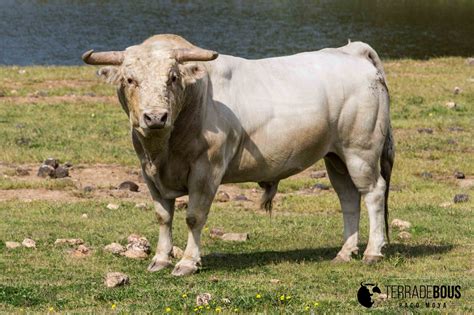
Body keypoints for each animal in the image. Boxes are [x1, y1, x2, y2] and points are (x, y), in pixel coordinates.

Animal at [83, 35, 394, 276]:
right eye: (129, 79)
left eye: (172, 77)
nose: (156, 117)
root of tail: (352, 51)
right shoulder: (149, 172)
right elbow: (163, 216)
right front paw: (160, 259)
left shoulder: (206, 170)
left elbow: (194, 216)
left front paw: (187, 263)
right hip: (336, 157)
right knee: (348, 197)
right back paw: (345, 252)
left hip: (360, 151)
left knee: (373, 192)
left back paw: (372, 252)